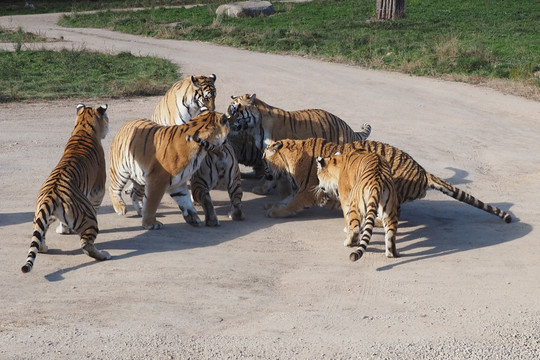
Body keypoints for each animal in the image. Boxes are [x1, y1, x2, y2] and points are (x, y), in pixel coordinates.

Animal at [22, 104, 112, 272]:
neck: (83, 127)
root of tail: (50, 195)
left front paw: (63, 230)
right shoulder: (98, 190)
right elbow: (97, 204)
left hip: (40, 215)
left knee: (39, 236)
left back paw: (44, 248)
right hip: (89, 217)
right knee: (86, 245)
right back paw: (104, 255)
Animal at [264, 138, 512, 222]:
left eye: (264, 157)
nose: (263, 171)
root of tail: (424, 172)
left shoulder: (308, 190)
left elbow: (293, 203)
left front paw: (275, 212)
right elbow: (289, 199)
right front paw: (274, 204)